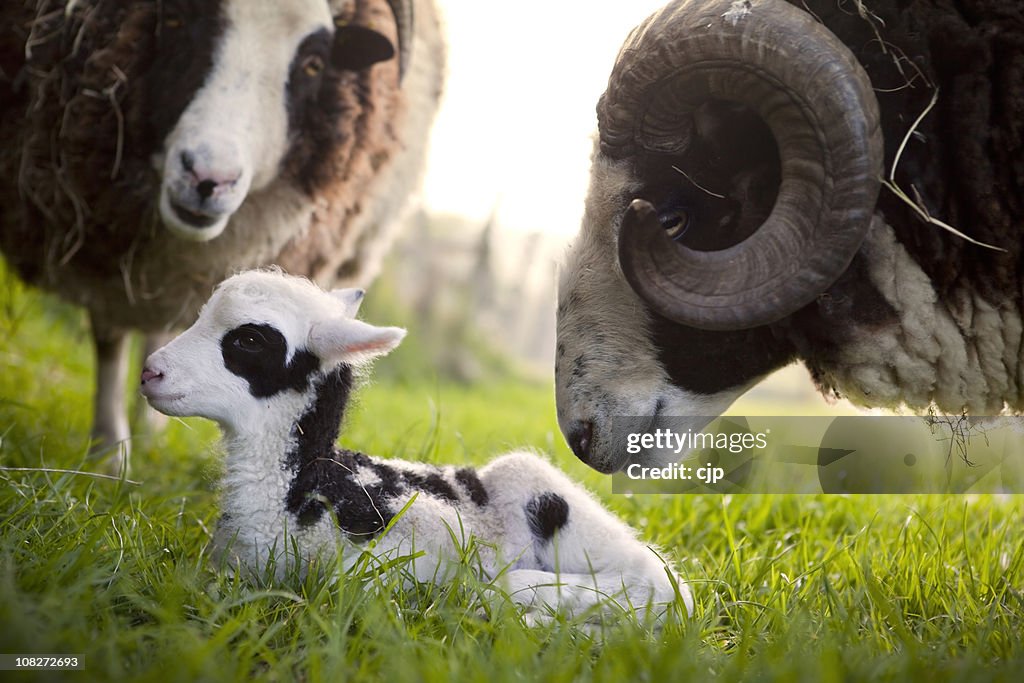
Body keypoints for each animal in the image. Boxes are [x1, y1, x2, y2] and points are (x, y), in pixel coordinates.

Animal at [0, 0, 444, 471]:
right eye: (176, 21)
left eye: (314, 64)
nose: (207, 178)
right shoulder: (102, 242)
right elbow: (110, 337)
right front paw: (108, 453)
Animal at [138, 270, 696, 626]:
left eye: (250, 340)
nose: (149, 373)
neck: (304, 491)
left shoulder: (391, 556)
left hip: (548, 498)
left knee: (666, 587)